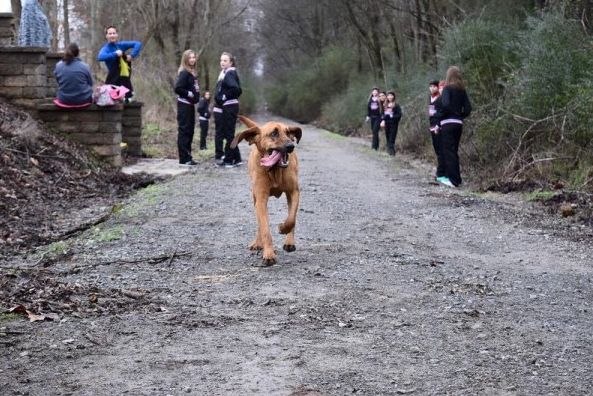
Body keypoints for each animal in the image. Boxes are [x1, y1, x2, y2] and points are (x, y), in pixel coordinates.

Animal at [231, 116, 302, 268]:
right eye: (274, 133)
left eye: (289, 133)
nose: (291, 146)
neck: (274, 170)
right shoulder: (261, 199)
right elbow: (265, 229)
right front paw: (268, 254)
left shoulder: (293, 192)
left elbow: (291, 219)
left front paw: (283, 228)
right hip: (255, 198)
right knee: (259, 223)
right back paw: (258, 243)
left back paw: (289, 242)